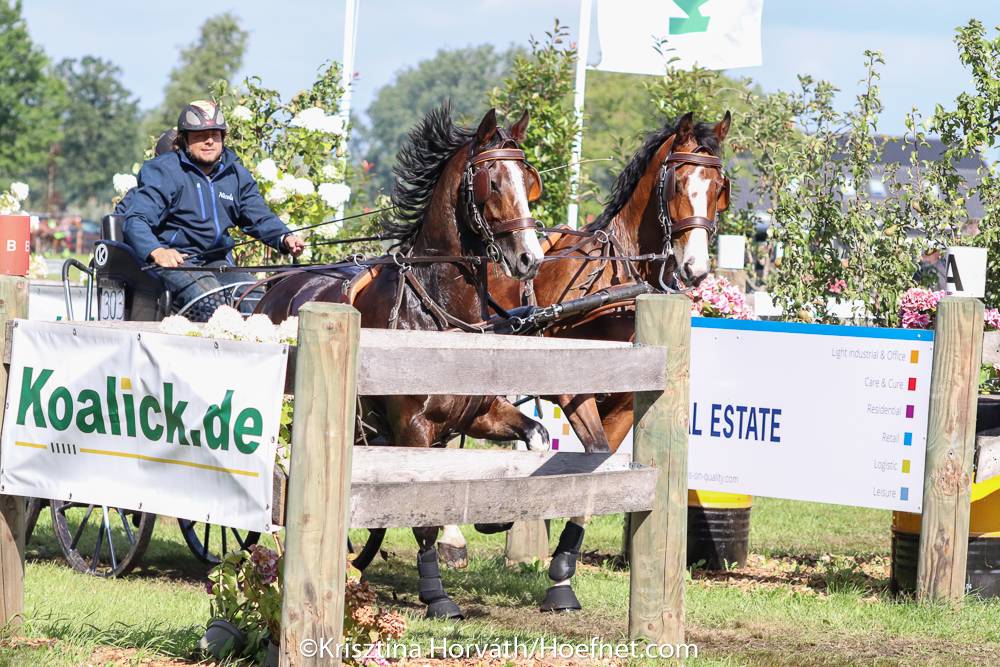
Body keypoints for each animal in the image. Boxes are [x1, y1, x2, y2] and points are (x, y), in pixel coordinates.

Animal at [256, 105, 549, 619]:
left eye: (528, 181)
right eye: (493, 182)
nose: (530, 259)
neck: (434, 307)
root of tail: (276, 287)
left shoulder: (481, 414)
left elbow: (534, 435)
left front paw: (502, 516)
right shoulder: (413, 427)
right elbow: (424, 517)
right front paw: (436, 594)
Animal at [434, 111, 733, 612]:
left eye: (718, 187)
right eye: (677, 183)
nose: (694, 269)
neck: (616, 283)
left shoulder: (626, 402)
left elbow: (604, 462)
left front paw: (562, 572)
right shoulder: (574, 390)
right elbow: (592, 456)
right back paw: (451, 537)